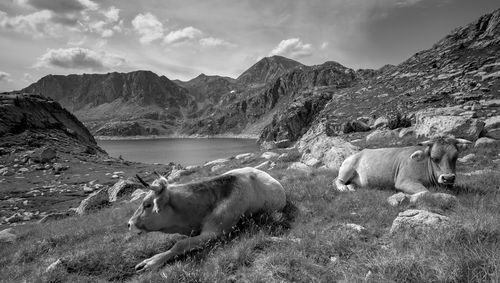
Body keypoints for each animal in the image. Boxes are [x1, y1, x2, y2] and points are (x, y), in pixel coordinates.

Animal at [334, 138, 470, 197]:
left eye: (455, 157)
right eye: (433, 158)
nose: (448, 178)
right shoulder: (404, 181)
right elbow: (425, 192)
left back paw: (351, 187)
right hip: (347, 168)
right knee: (337, 180)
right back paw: (343, 188)